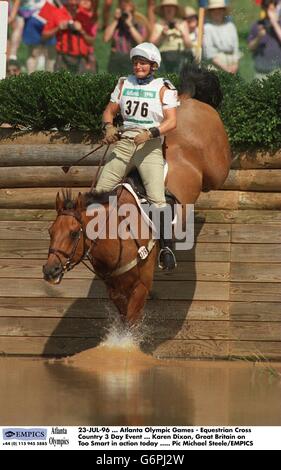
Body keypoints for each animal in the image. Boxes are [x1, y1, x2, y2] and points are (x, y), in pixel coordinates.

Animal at [42, 65, 231, 324]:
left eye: (73, 234)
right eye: (51, 232)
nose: (50, 270)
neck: (115, 234)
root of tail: (187, 99)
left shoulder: (141, 286)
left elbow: (130, 324)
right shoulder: (115, 288)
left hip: (217, 170)